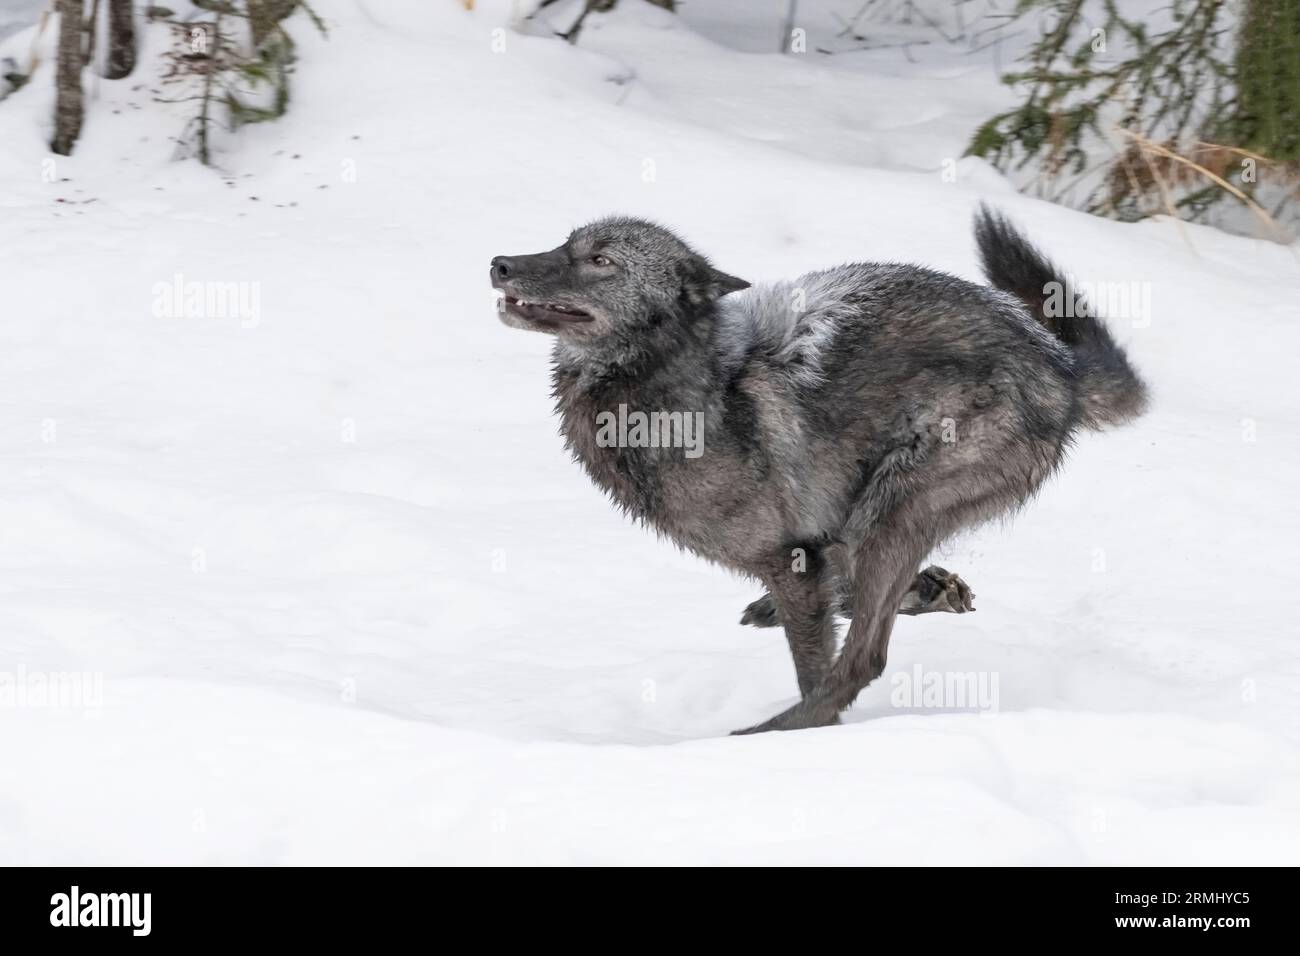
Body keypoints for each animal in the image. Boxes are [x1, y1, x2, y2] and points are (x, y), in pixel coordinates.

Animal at [490, 207, 1147, 734]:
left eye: (600, 260)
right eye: (564, 243)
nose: (498, 263)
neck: (683, 390)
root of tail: (1059, 364)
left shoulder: (793, 559)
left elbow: (816, 659)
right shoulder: (809, 555)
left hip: (893, 510)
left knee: (864, 658)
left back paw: (776, 730)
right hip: (874, 521)